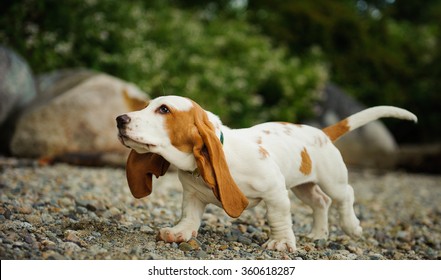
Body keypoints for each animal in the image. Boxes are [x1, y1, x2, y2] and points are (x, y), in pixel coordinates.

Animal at [116, 96, 416, 252]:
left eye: (164, 109)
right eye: (146, 105)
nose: (119, 119)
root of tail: (321, 132)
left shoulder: (275, 192)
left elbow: (278, 218)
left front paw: (281, 242)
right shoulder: (192, 196)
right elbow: (189, 217)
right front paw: (178, 233)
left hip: (332, 180)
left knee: (344, 196)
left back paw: (352, 226)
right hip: (303, 187)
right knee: (321, 202)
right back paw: (318, 234)